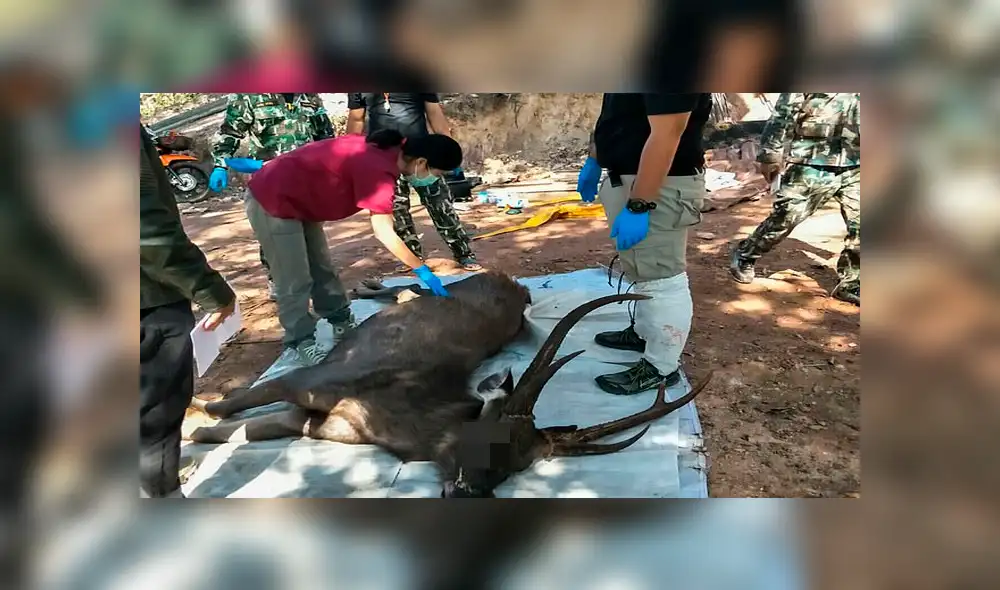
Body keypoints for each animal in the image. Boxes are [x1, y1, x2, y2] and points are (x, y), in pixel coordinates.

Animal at [185, 270, 711, 497]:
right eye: (494, 435)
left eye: (520, 467)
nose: (471, 494)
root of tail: (517, 285)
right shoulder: (311, 380)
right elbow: (235, 406)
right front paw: (196, 410)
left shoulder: (320, 422)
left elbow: (237, 432)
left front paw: (195, 432)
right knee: (416, 284)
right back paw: (365, 285)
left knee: (410, 288)